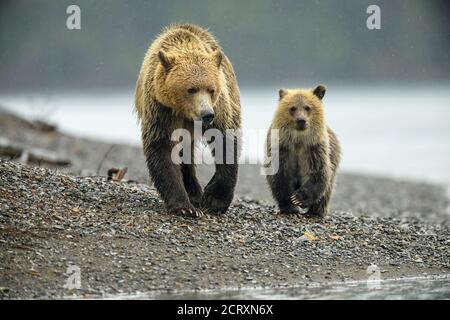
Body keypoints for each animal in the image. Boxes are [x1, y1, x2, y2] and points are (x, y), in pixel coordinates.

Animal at [135, 23, 241, 218]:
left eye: (211, 89)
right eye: (191, 89)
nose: (207, 114)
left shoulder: (220, 107)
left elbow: (225, 141)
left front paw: (214, 200)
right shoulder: (161, 111)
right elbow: (162, 149)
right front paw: (184, 206)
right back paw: (194, 193)